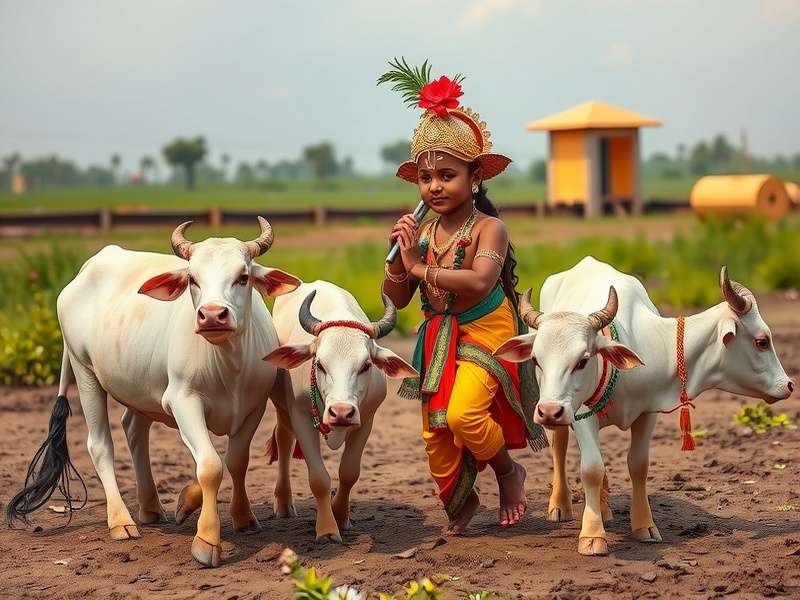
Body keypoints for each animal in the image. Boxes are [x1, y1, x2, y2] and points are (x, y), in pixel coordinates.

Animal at [6, 218, 301, 567]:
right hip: (84, 370)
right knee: (100, 445)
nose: (212, 315)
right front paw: (206, 539)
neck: (228, 364)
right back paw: (121, 521)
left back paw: (149, 507)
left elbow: (234, 461)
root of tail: (89, 267)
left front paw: (239, 517)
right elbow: (210, 465)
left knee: (134, 430)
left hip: (138, 389)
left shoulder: (253, 407)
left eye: (243, 277)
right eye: (193, 279)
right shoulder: (183, 401)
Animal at [262, 281, 416, 542]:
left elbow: (349, 472)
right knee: (283, 439)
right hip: (282, 406)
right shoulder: (302, 417)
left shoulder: (366, 421)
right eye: (320, 364)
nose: (341, 413)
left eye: (365, 365)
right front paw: (326, 529)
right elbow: (319, 478)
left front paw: (341, 516)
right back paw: (283, 503)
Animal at [494, 256, 794, 556]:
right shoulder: (579, 414)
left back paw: (603, 507)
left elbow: (638, 465)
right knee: (559, 445)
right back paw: (560, 505)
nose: (789, 385)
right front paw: (592, 535)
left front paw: (644, 526)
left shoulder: (647, 412)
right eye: (762, 342)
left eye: (583, 360)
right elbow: (591, 468)